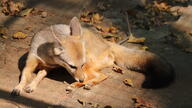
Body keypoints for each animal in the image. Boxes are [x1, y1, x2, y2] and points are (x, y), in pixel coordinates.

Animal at [11, 16, 175, 96]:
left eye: (80, 64)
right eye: (71, 65)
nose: (80, 78)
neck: (47, 56)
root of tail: (107, 43)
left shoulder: (52, 68)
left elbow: (37, 76)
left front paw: (30, 86)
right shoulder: (34, 64)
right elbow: (26, 77)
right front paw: (21, 87)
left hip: (89, 66)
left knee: (102, 76)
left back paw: (78, 84)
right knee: (100, 76)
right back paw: (84, 84)